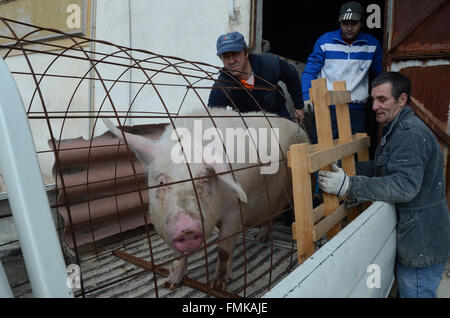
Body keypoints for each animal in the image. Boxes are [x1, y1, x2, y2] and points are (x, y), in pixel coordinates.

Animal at [102, 107, 310, 290]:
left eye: (203, 180)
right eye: (161, 182)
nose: (186, 229)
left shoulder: (236, 211)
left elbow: (224, 250)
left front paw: (218, 286)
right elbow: (178, 254)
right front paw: (169, 284)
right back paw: (259, 240)